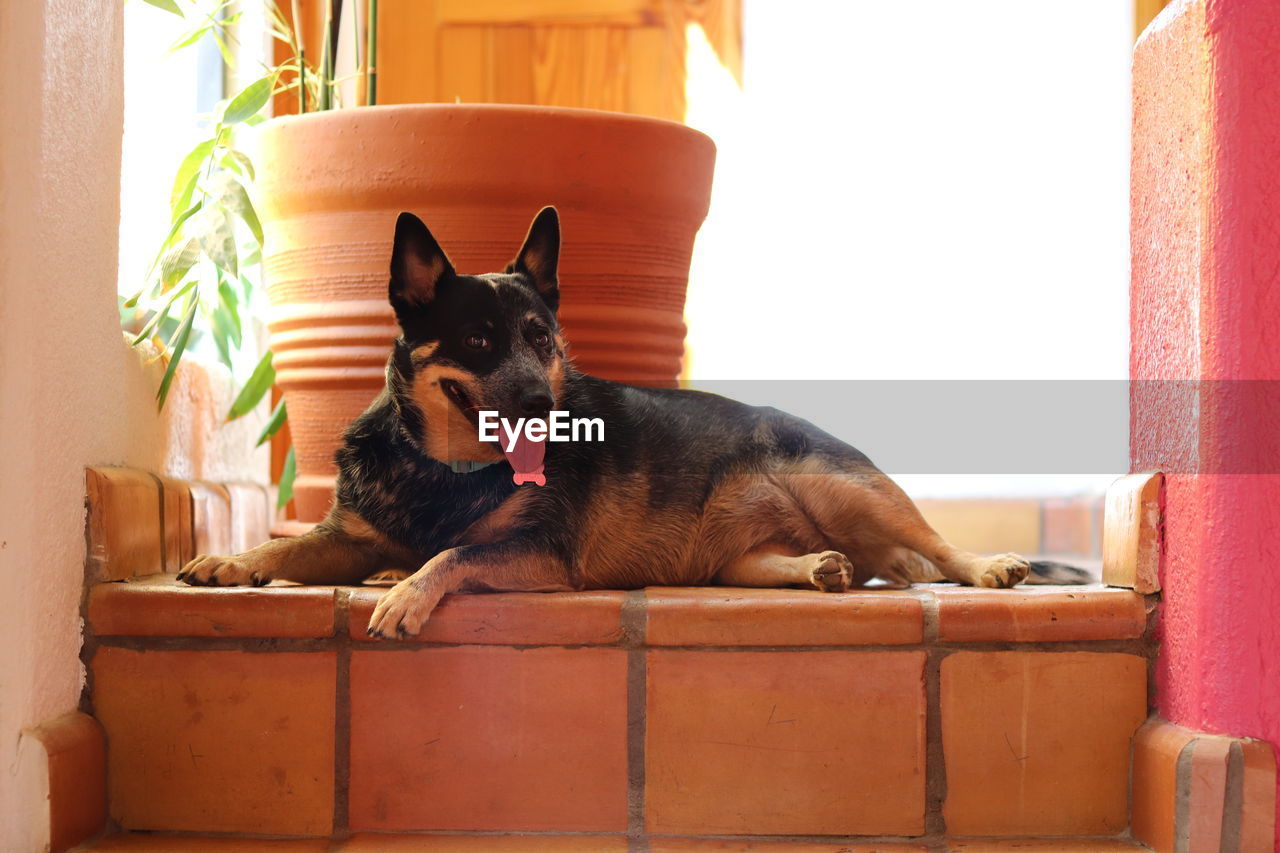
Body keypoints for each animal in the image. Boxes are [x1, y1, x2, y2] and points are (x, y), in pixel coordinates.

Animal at [175, 204, 1085, 630]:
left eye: (542, 337)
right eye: (478, 339)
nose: (543, 403)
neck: (446, 470)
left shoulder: (541, 552)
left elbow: (455, 554)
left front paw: (406, 588)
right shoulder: (349, 534)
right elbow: (285, 549)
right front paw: (231, 562)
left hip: (847, 486)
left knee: (931, 548)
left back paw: (987, 567)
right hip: (733, 553)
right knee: (806, 566)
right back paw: (814, 567)